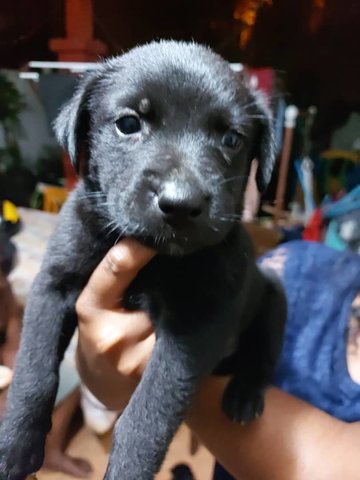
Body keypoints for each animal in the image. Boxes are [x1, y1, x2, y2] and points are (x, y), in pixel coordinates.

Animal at [0, 42, 286, 480]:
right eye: (129, 123)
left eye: (232, 139)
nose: (181, 203)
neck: (157, 257)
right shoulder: (53, 284)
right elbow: (34, 369)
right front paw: (15, 446)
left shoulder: (196, 327)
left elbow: (149, 411)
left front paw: (128, 467)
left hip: (273, 296)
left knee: (264, 355)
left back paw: (244, 395)